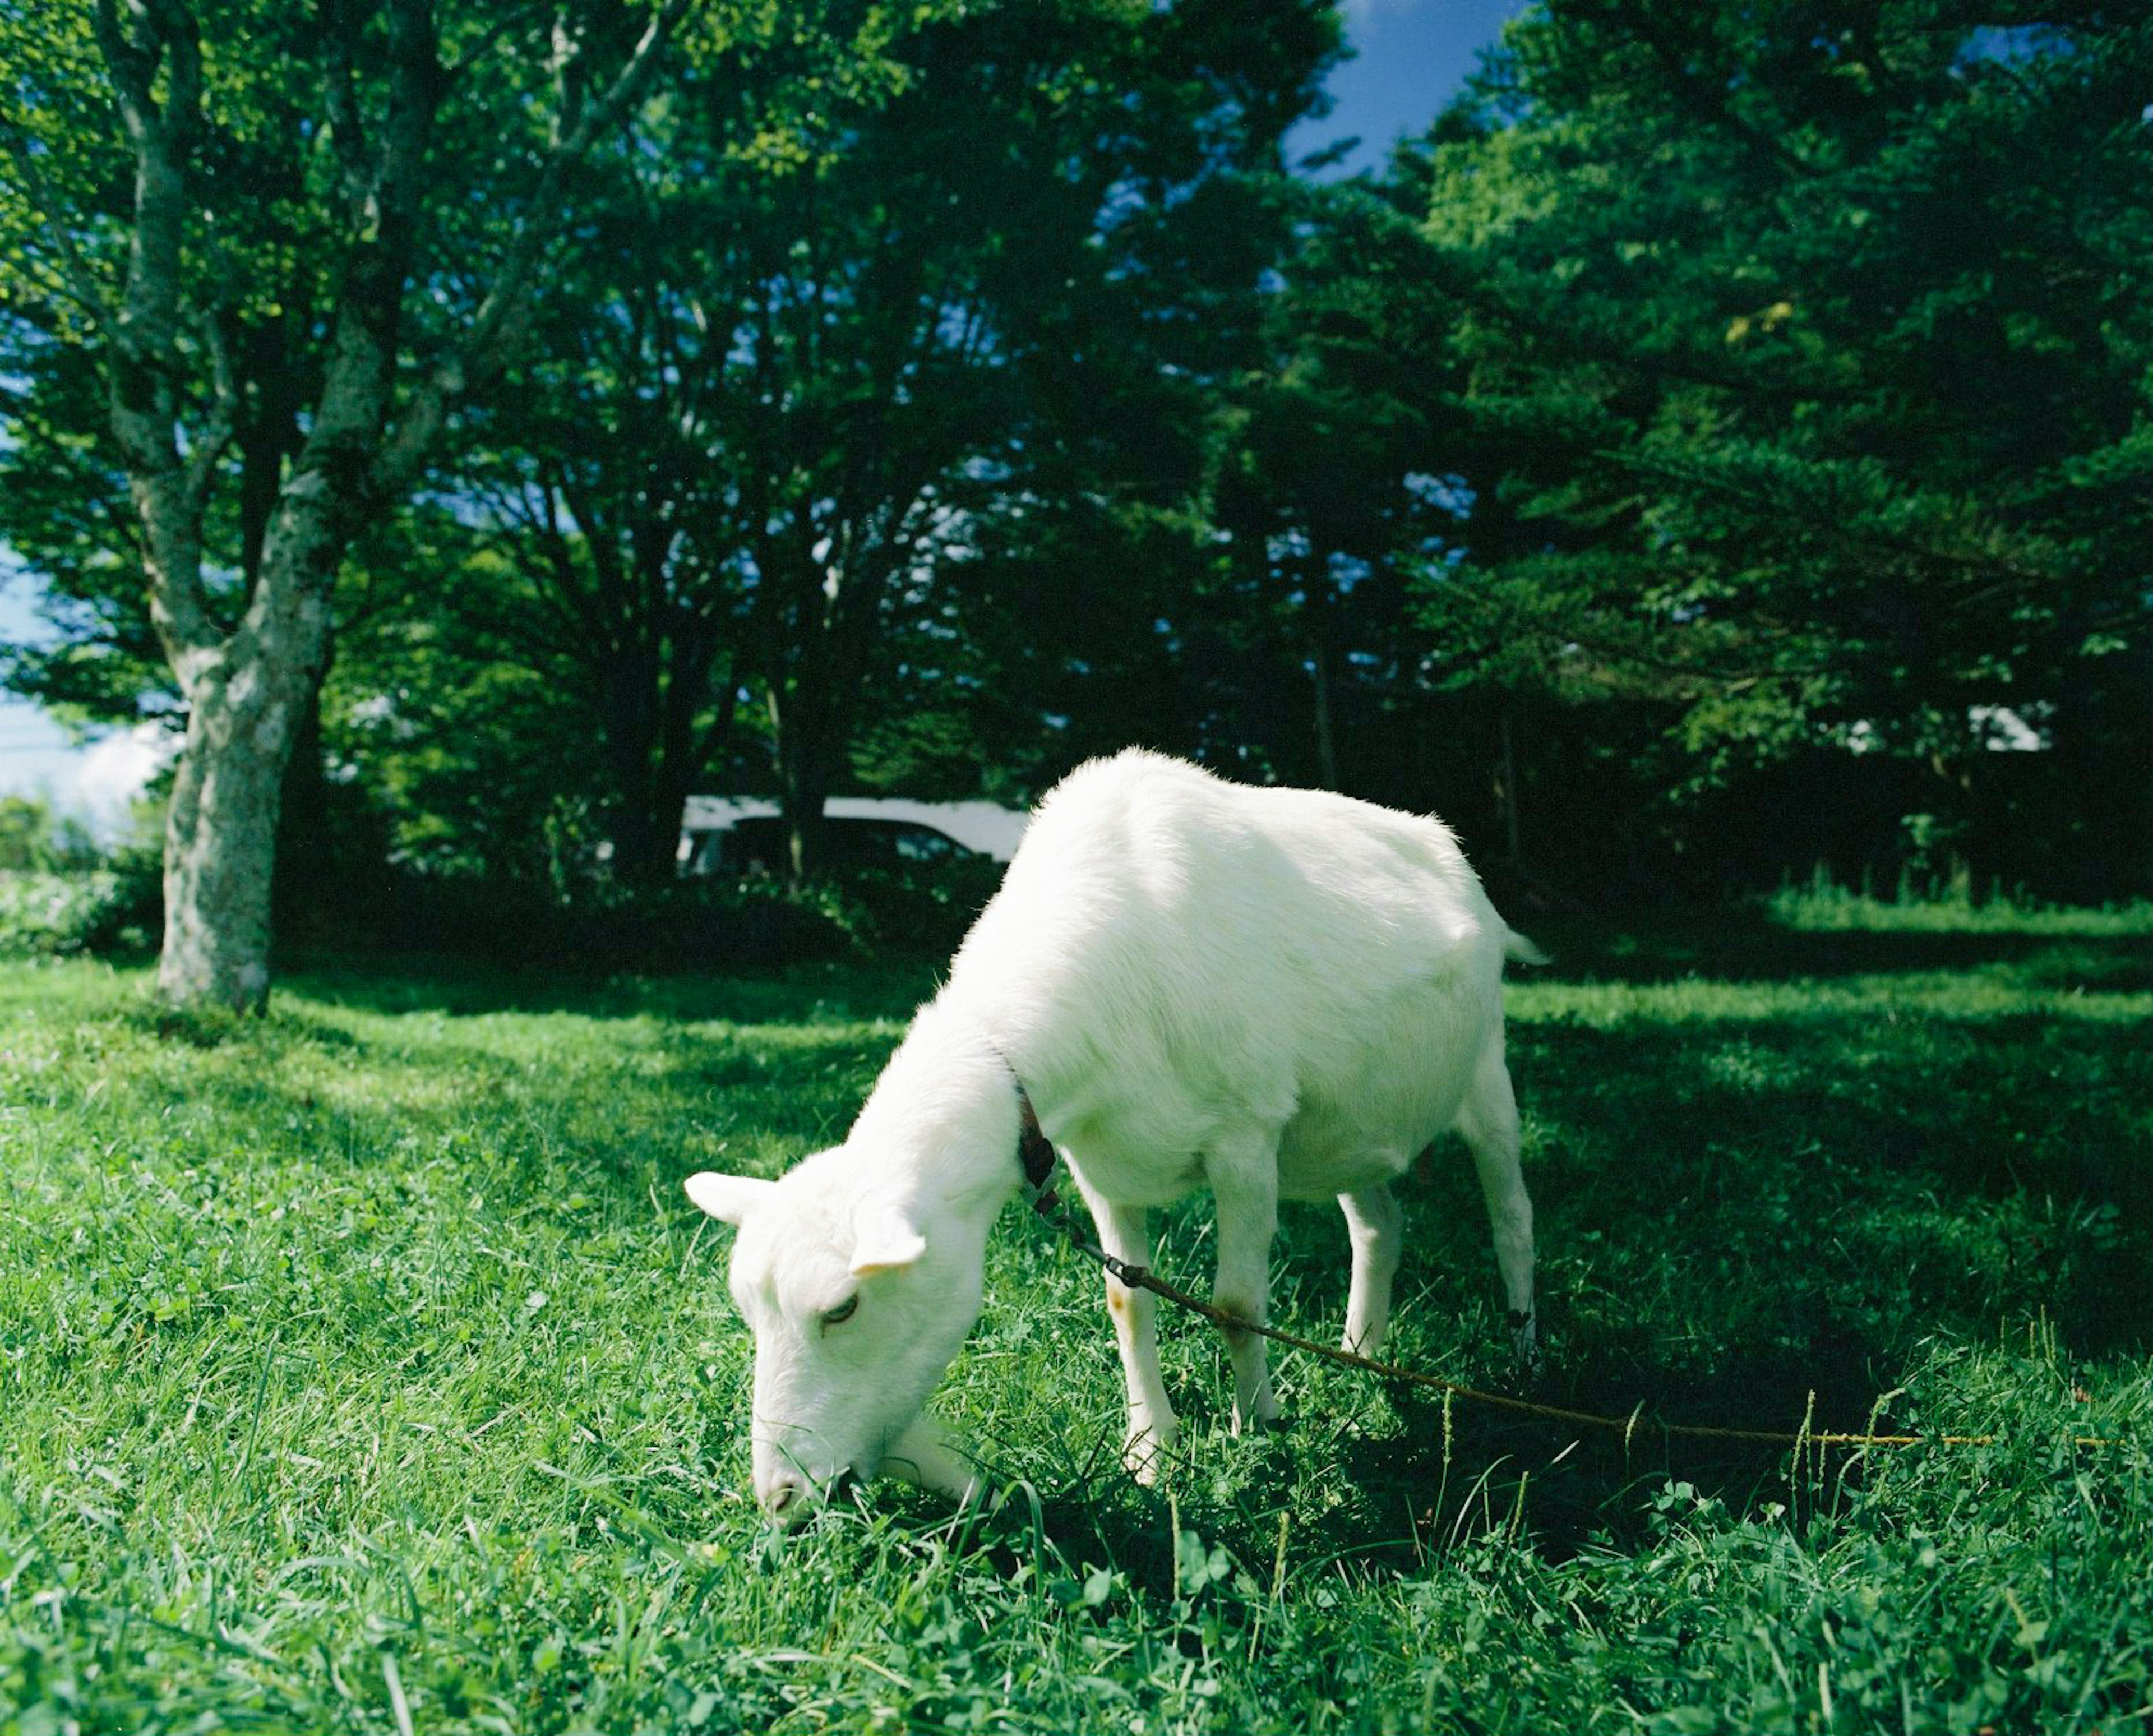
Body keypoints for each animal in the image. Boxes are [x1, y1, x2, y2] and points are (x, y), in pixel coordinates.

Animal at [680, 749, 1541, 1525]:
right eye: (750, 1310)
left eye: (844, 1309)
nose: (779, 1497)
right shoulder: (1098, 1163)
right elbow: (1126, 1298)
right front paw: (1149, 1452)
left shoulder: (1246, 1137)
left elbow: (1236, 1305)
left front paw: (1256, 1432)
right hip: (1351, 1125)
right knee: (1378, 1224)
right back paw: (1362, 1354)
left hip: (1487, 1068)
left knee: (1512, 1218)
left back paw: (1526, 1365)